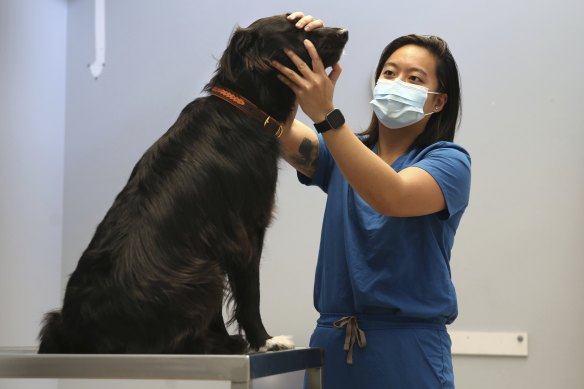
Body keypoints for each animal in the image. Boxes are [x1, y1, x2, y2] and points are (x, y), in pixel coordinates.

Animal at [38, 14, 350, 354]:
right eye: (295, 31)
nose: (344, 32)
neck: (244, 107)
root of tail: (77, 333)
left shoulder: (216, 241)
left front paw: (234, 338)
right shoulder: (244, 230)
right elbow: (249, 294)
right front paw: (264, 341)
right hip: (200, 274)